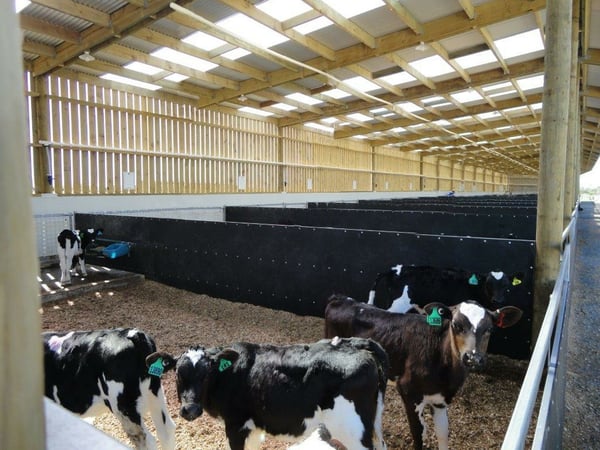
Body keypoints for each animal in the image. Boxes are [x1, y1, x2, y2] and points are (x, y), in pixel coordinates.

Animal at [148, 338, 386, 450]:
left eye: (206, 376)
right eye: (178, 374)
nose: (190, 410)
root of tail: (358, 344)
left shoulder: (236, 425)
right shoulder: (253, 427)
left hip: (354, 430)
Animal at [324, 296, 520, 450]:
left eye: (490, 329)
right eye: (456, 324)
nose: (473, 358)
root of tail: (339, 298)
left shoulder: (440, 399)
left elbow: (443, 433)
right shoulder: (408, 391)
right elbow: (418, 433)